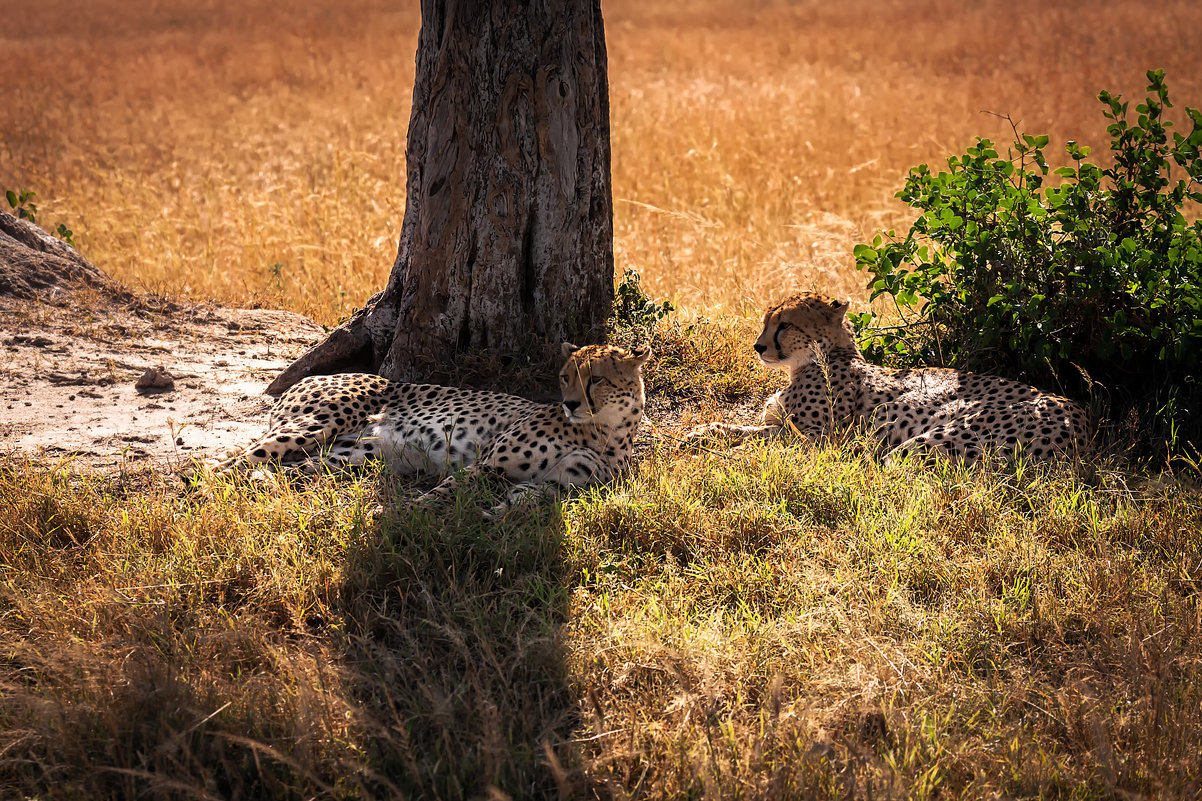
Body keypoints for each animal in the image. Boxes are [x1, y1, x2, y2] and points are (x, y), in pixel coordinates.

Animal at [211, 341, 653, 512]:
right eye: (565, 377)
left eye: (596, 378)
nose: (570, 403)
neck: (602, 431)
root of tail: (312, 376)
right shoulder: (489, 465)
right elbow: (443, 493)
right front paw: (401, 516)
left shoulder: (553, 486)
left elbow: (522, 502)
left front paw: (495, 519)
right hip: (314, 425)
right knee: (227, 464)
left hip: (352, 455)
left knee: (288, 470)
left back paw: (268, 484)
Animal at [687, 292, 1091, 461]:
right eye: (767, 320)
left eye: (784, 324)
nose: (758, 347)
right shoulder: (785, 423)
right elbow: (748, 426)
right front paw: (703, 431)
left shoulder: (818, 436)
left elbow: (761, 438)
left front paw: (716, 445)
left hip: (926, 431)